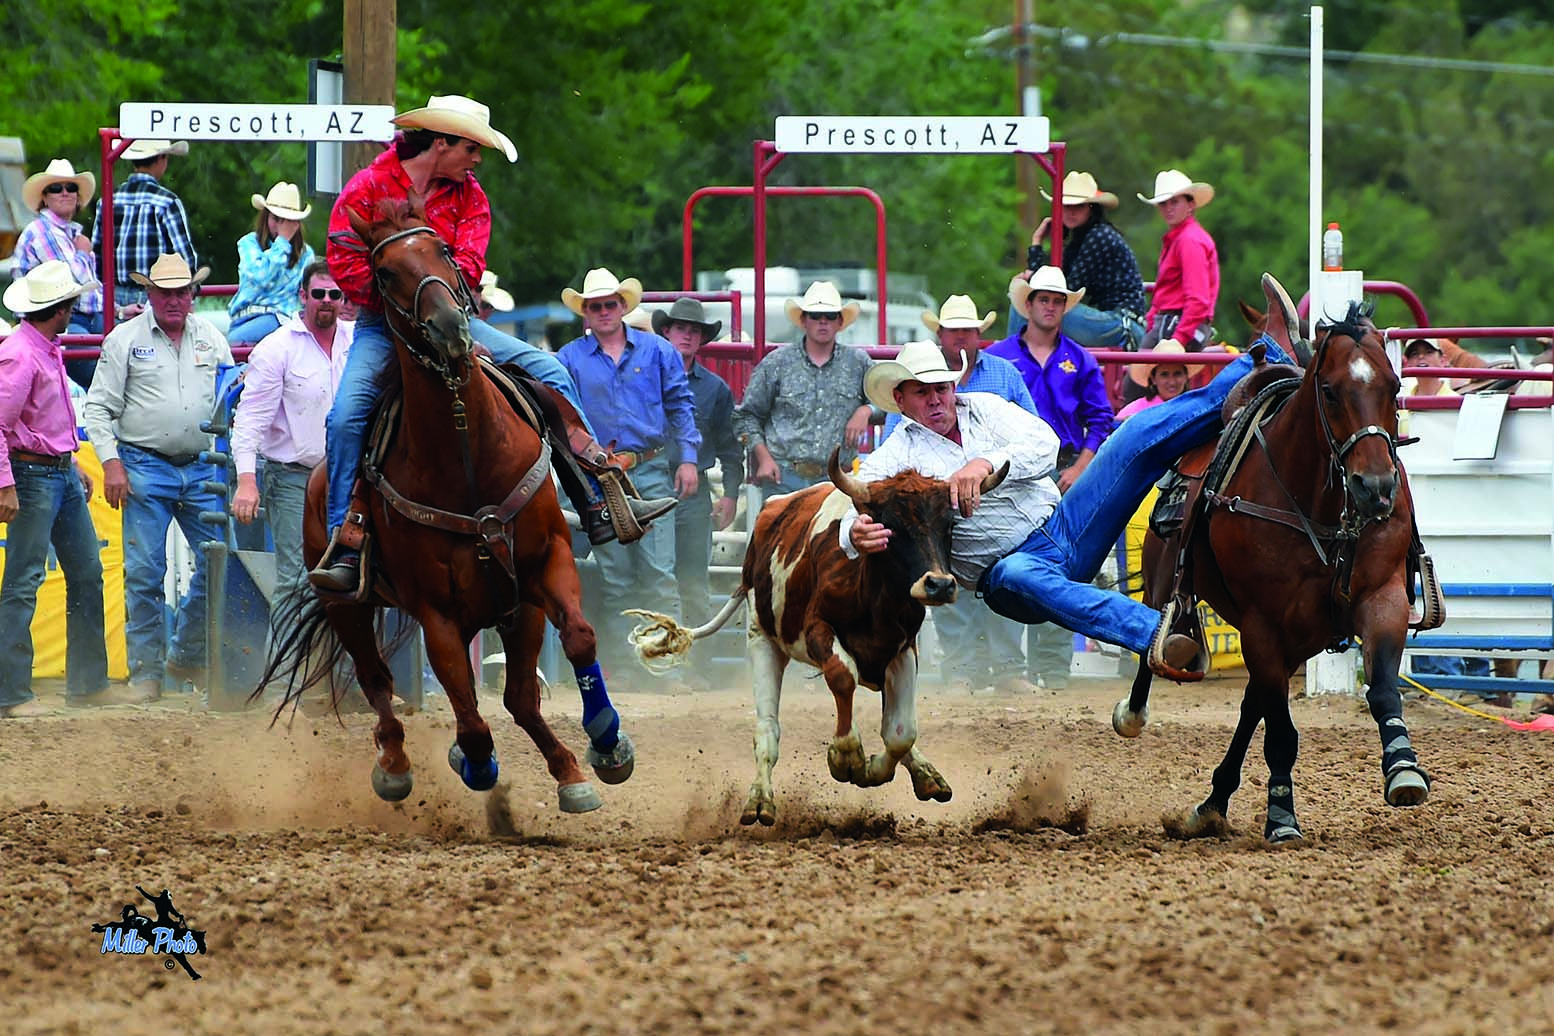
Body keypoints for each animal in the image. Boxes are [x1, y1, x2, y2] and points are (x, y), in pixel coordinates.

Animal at [257, 198, 634, 813]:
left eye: (444, 250)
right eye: (385, 272)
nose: (451, 330)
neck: (467, 456)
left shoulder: (546, 562)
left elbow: (578, 637)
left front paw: (606, 744)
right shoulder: (436, 611)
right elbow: (466, 710)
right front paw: (475, 763)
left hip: (512, 609)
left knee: (519, 698)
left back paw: (569, 770)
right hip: (345, 605)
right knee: (379, 682)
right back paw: (395, 766)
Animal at [630, 447, 1006, 826]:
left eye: (949, 525)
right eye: (891, 525)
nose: (939, 584)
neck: (872, 595)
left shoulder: (903, 649)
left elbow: (900, 733)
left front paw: (874, 768)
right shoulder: (818, 630)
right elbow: (843, 677)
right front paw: (846, 756)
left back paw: (927, 775)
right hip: (762, 639)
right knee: (767, 729)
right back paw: (759, 800)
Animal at [1118, 274, 1429, 844]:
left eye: (1395, 386)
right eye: (1329, 391)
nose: (1376, 488)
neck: (1320, 507)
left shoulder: (1382, 599)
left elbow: (1381, 689)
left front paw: (1403, 768)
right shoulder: (1262, 624)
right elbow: (1281, 731)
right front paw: (1282, 816)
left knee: (1253, 705)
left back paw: (1213, 802)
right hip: (1171, 591)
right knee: (1166, 647)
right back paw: (1135, 714)